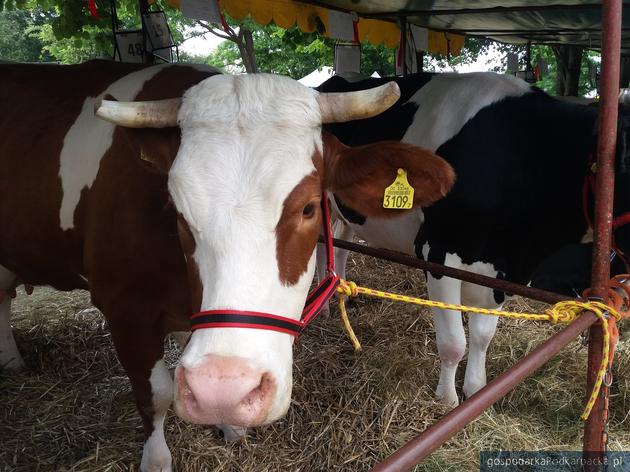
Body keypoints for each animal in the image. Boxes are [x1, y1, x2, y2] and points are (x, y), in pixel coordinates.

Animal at [0, 60, 454, 470]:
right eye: (177, 212)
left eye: (309, 207)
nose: (225, 391)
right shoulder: (122, 308)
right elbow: (155, 394)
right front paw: (157, 459)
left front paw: (231, 425)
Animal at [318, 73, 630, 406]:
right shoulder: (438, 254)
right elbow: (455, 342)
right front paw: (447, 400)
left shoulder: (499, 271)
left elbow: (482, 336)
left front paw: (476, 390)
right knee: (325, 243)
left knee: (342, 243)